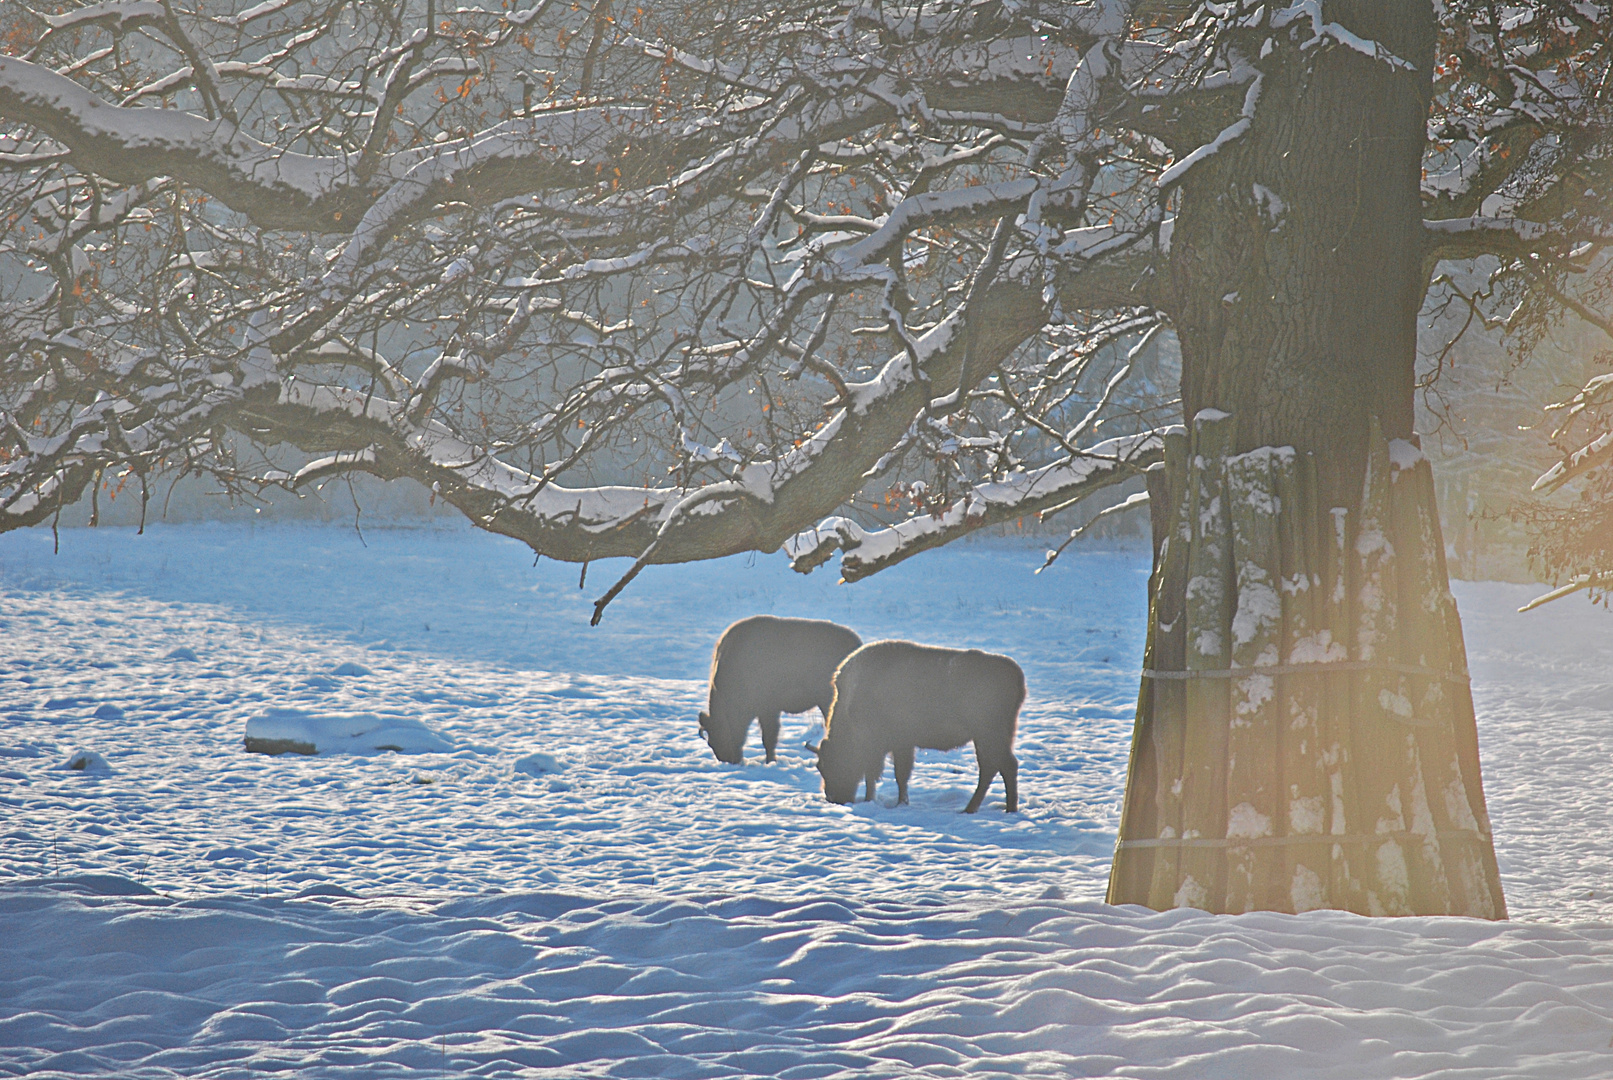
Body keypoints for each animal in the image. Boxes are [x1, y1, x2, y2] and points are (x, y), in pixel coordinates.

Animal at [812, 644, 1025, 812]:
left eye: (828, 764)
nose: (834, 798)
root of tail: (1014, 674)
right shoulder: (901, 745)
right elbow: (897, 776)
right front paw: (900, 802)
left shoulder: (884, 746)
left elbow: (881, 775)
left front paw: (877, 800)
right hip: (991, 738)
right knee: (997, 767)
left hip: (988, 736)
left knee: (1001, 766)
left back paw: (994, 809)